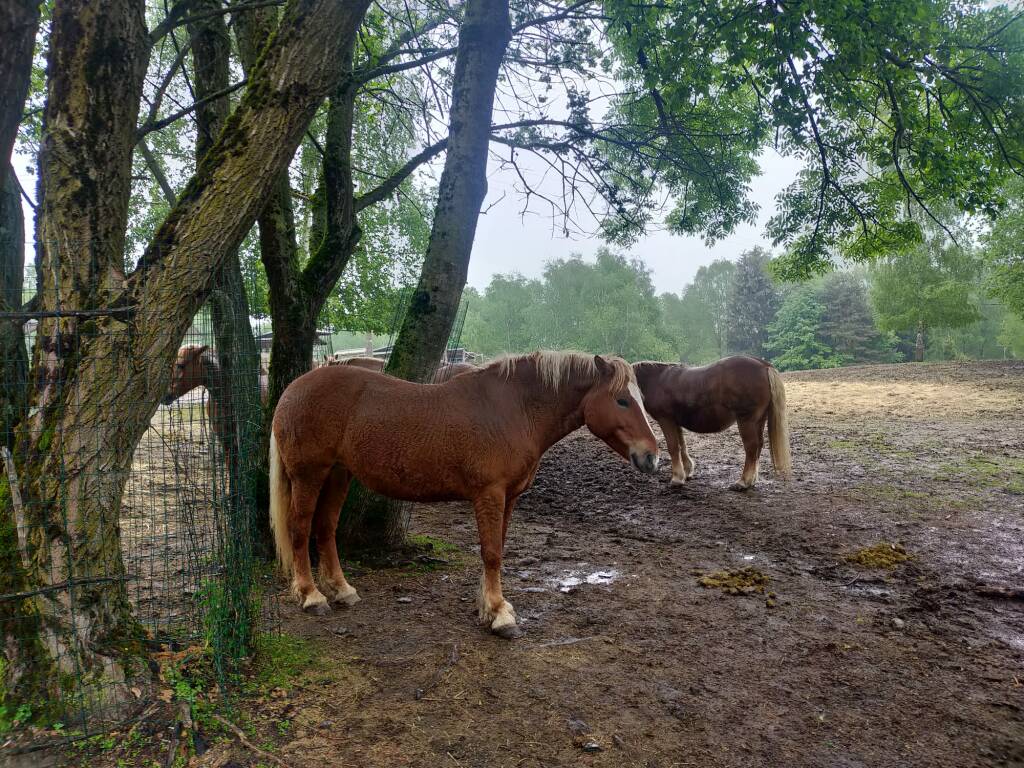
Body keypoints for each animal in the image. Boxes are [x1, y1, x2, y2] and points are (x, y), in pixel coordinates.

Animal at [268, 352, 659, 638]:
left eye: (641, 400)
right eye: (622, 401)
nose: (652, 456)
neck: (514, 409)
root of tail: (293, 389)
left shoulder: (509, 497)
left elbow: (498, 548)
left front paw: (491, 606)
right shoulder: (490, 494)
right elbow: (491, 553)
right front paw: (500, 616)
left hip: (338, 474)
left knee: (326, 528)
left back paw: (342, 590)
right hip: (309, 474)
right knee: (300, 528)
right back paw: (311, 596)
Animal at [630, 356, 790, 489]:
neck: (656, 380)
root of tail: (763, 365)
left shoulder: (666, 420)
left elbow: (673, 447)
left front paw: (677, 478)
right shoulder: (676, 422)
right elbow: (682, 446)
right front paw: (687, 471)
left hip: (747, 421)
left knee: (752, 447)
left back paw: (743, 482)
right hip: (759, 421)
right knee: (758, 447)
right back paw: (752, 480)